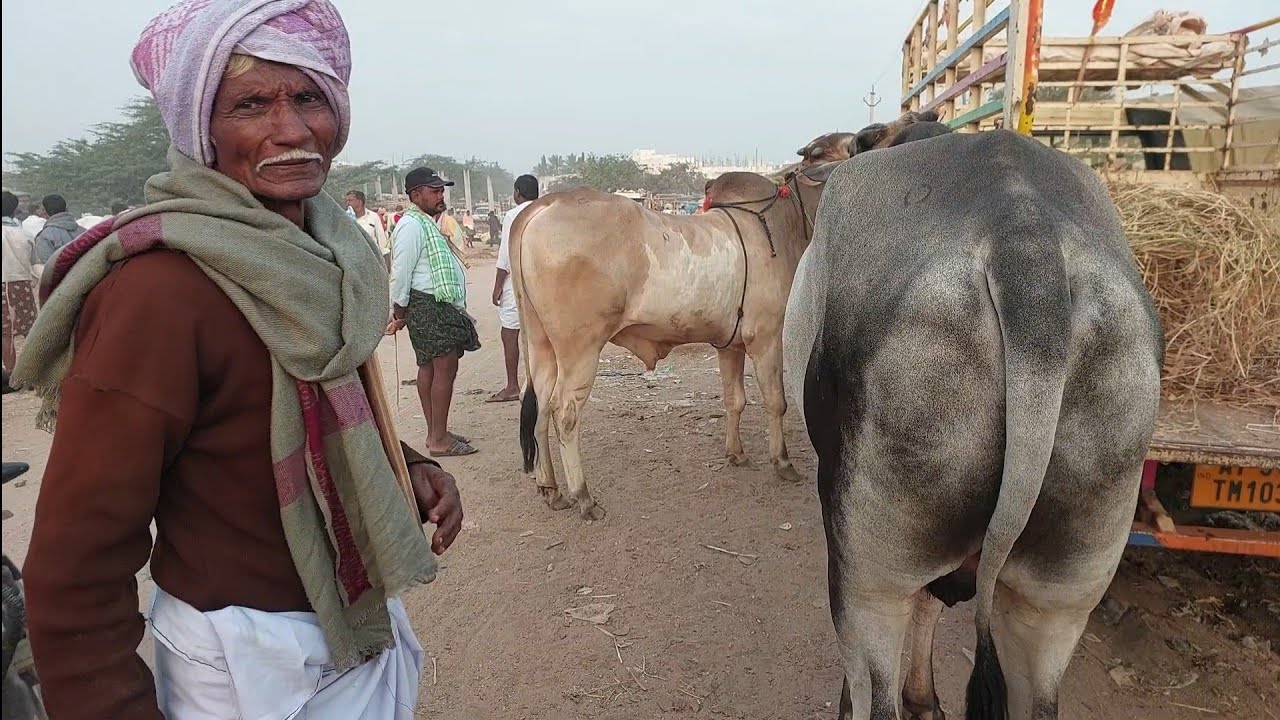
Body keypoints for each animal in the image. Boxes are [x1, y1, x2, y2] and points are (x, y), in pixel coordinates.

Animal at [511, 165, 836, 520]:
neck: (780, 223)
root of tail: (545, 204)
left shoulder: (730, 345)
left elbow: (734, 400)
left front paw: (735, 453)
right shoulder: (766, 337)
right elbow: (776, 402)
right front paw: (783, 462)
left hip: (541, 345)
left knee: (539, 407)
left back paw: (550, 488)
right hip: (580, 350)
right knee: (564, 413)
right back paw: (583, 496)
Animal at [782, 120, 1164, 719]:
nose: (804, 159)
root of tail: (1022, 242)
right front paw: (926, 697)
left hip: (870, 575)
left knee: (876, 685)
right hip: (1061, 593)